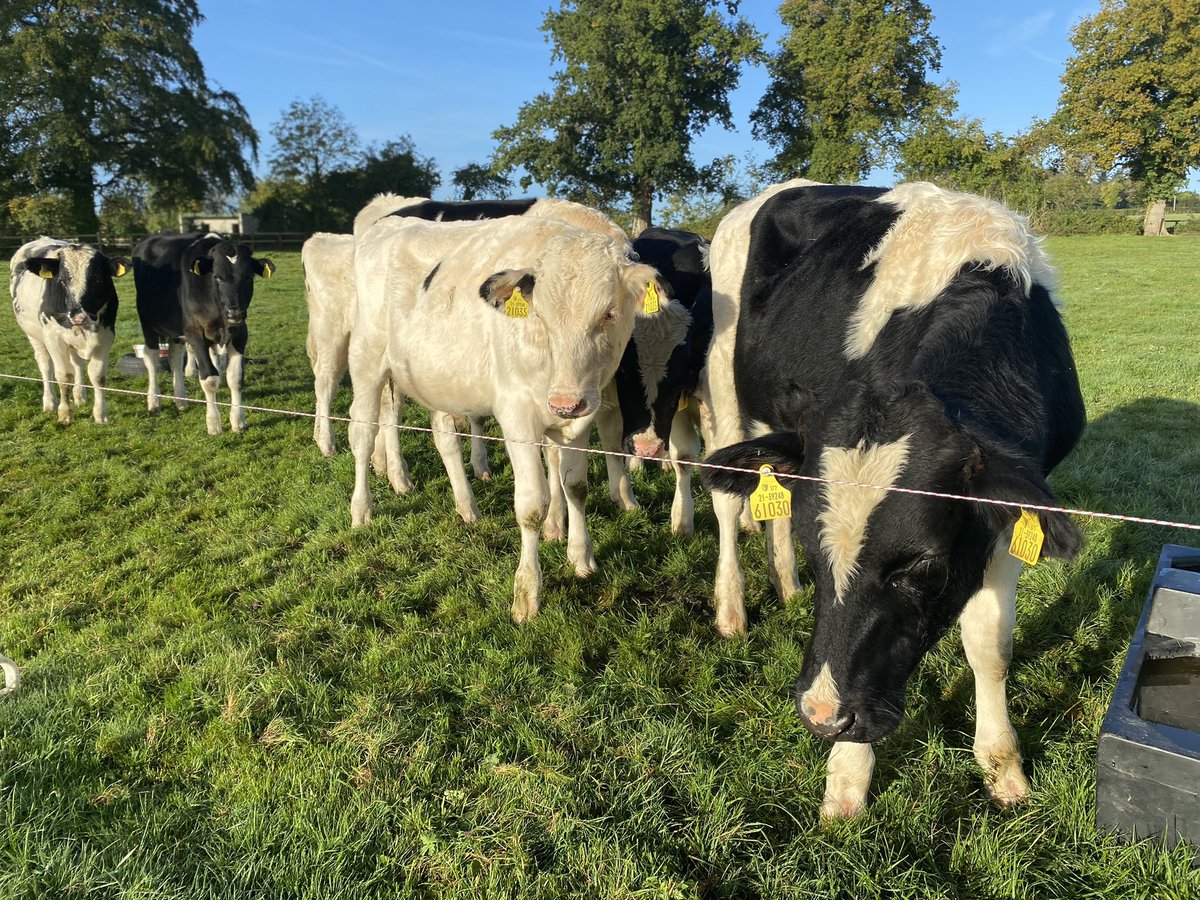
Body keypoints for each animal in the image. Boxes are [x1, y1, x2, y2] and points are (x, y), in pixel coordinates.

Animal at [9, 238, 128, 424]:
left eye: (98, 281)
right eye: (62, 281)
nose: (78, 317)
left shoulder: (106, 335)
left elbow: (98, 376)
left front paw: (100, 414)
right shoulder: (54, 337)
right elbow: (64, 376)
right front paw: (64, 413)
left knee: (76, 364)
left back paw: (79, 396)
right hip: (34, 335)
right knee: (45, 365)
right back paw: (50, 402)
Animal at [132, 233, 275, 435]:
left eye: (249, 277)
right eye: (217, 277)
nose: (235, 313)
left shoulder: (240, 333)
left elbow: (236, 379)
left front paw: (238, 420)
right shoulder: (195, 333)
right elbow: (209, 378)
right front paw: (214, 424)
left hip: (176, 329)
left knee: (175, 358)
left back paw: (181, 400)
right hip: (147, 322)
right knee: (151, 359)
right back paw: (154, 401)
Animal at [350, 214, 670, 622]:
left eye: (609, 314)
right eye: (542, 316)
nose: (564, 403)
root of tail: (391, 222)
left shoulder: (582, 418)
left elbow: (575, 487)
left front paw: (581, 558)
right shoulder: (517, 418)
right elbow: (532, 506)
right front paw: (527, 593)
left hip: (436, 378)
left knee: (444, 439)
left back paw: (467, 507)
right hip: (367, 361)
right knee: (362, 433)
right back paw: (362, 509)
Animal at [699, 181, 1086, 820]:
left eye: (922, 567)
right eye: (821, 555)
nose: (822, 715)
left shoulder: (1009, 508)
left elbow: (990, 643)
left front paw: (1002, 764)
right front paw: (847, 778)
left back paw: (785, 585)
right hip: (725, 384)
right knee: (731, 505)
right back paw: (730, 609)